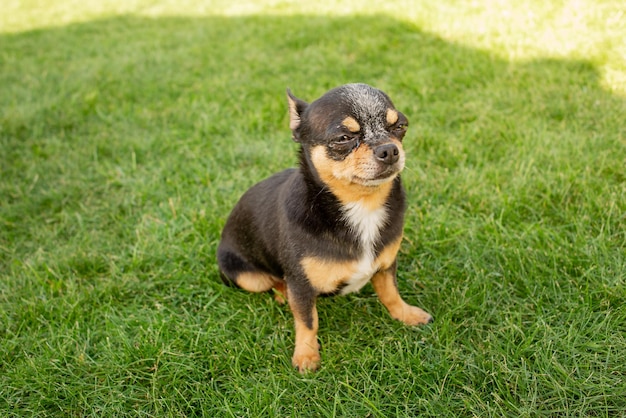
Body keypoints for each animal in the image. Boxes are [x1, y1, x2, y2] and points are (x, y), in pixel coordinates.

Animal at [217, 84, 432, 372]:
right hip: (246, 276)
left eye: (400, 126)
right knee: (273, 282)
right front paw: (307, 355)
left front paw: (406, 314)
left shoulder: (386, 265)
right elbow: (308, 321)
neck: (361, 206)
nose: (389, 150)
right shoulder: (301, 285)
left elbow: (390, 293)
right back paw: (282, 293)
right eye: (343, 138)